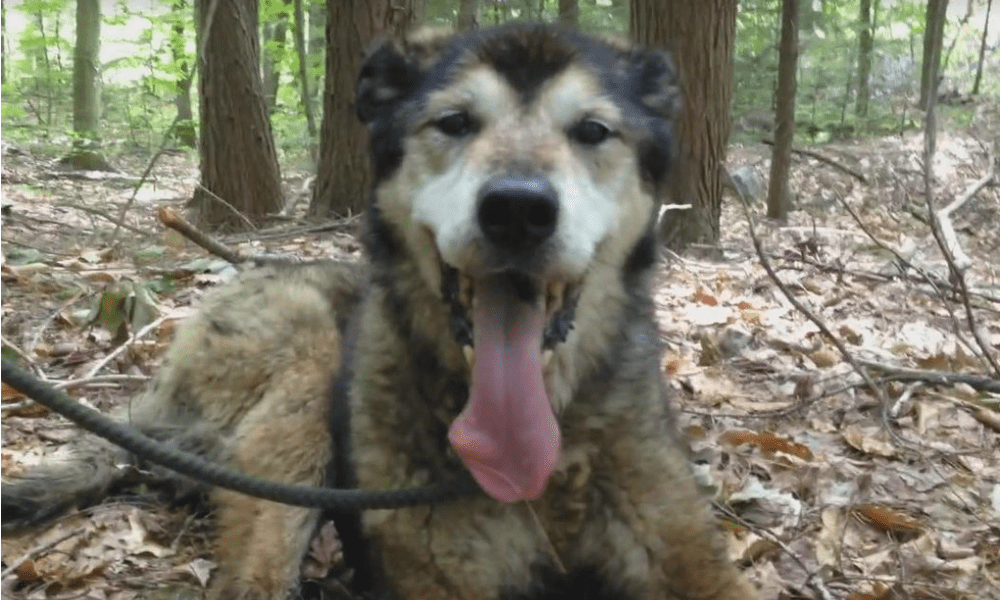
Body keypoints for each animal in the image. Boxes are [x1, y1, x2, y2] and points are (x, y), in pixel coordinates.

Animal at [3, 23, 760, 600]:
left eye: (594, 130)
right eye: (454, 123)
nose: (517, 210)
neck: (548, 453)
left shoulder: (685, 551)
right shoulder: (438, 573)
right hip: (305, 359)